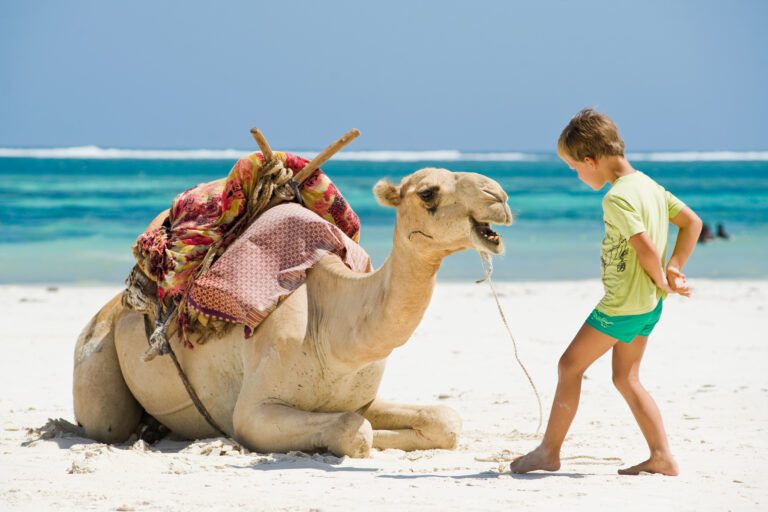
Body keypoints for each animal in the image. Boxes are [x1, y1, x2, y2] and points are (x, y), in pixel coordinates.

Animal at [73, 167, 512, 457]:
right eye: (428, 193)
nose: (500, 197)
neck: (332, 331)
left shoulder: (361, 396)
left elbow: (442, 420)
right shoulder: (254, 411)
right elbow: (356, 431)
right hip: (96, 361)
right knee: (104, 422)